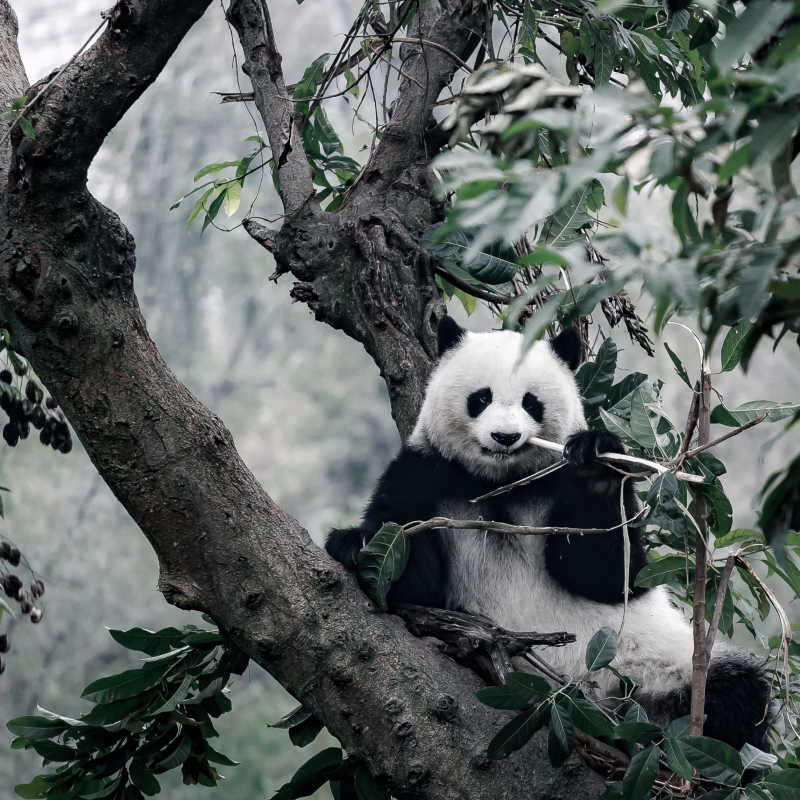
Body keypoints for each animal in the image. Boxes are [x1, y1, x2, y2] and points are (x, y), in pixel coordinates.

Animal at [324, 314, 768, 752]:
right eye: (480, 398)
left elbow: (611, 578)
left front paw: (596, 466)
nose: (505, 437)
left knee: (736, 694)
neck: (501, 482)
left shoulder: (556, 482)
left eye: (531, 402)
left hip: (657, 666)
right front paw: (356, 544)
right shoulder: (426, 474)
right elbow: (413, 584)